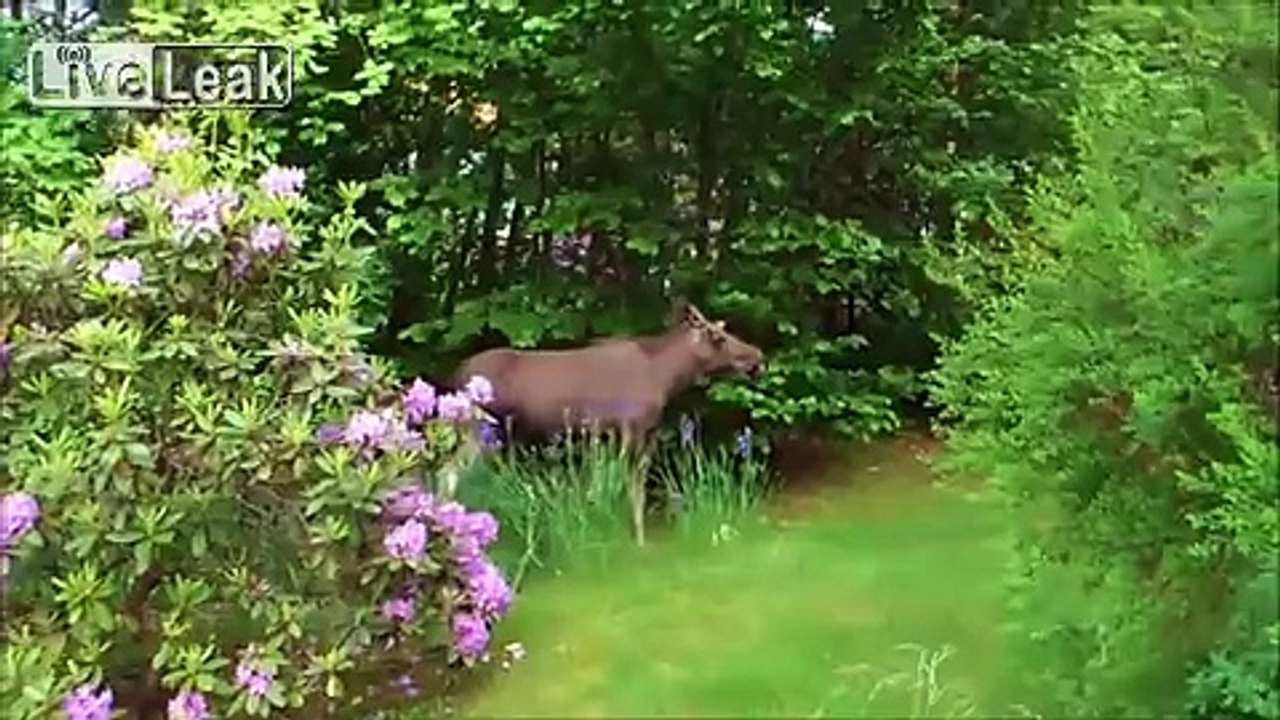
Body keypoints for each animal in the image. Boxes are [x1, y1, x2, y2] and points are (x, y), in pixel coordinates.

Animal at [449, 300, 766, 546]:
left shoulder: (628, 435)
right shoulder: (631, 428)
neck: (667, 378)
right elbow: (630, 489)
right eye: (718, 337)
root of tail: (457, 372)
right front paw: (636, 540)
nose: (758, 357)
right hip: (476, 430)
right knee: (453, 474)